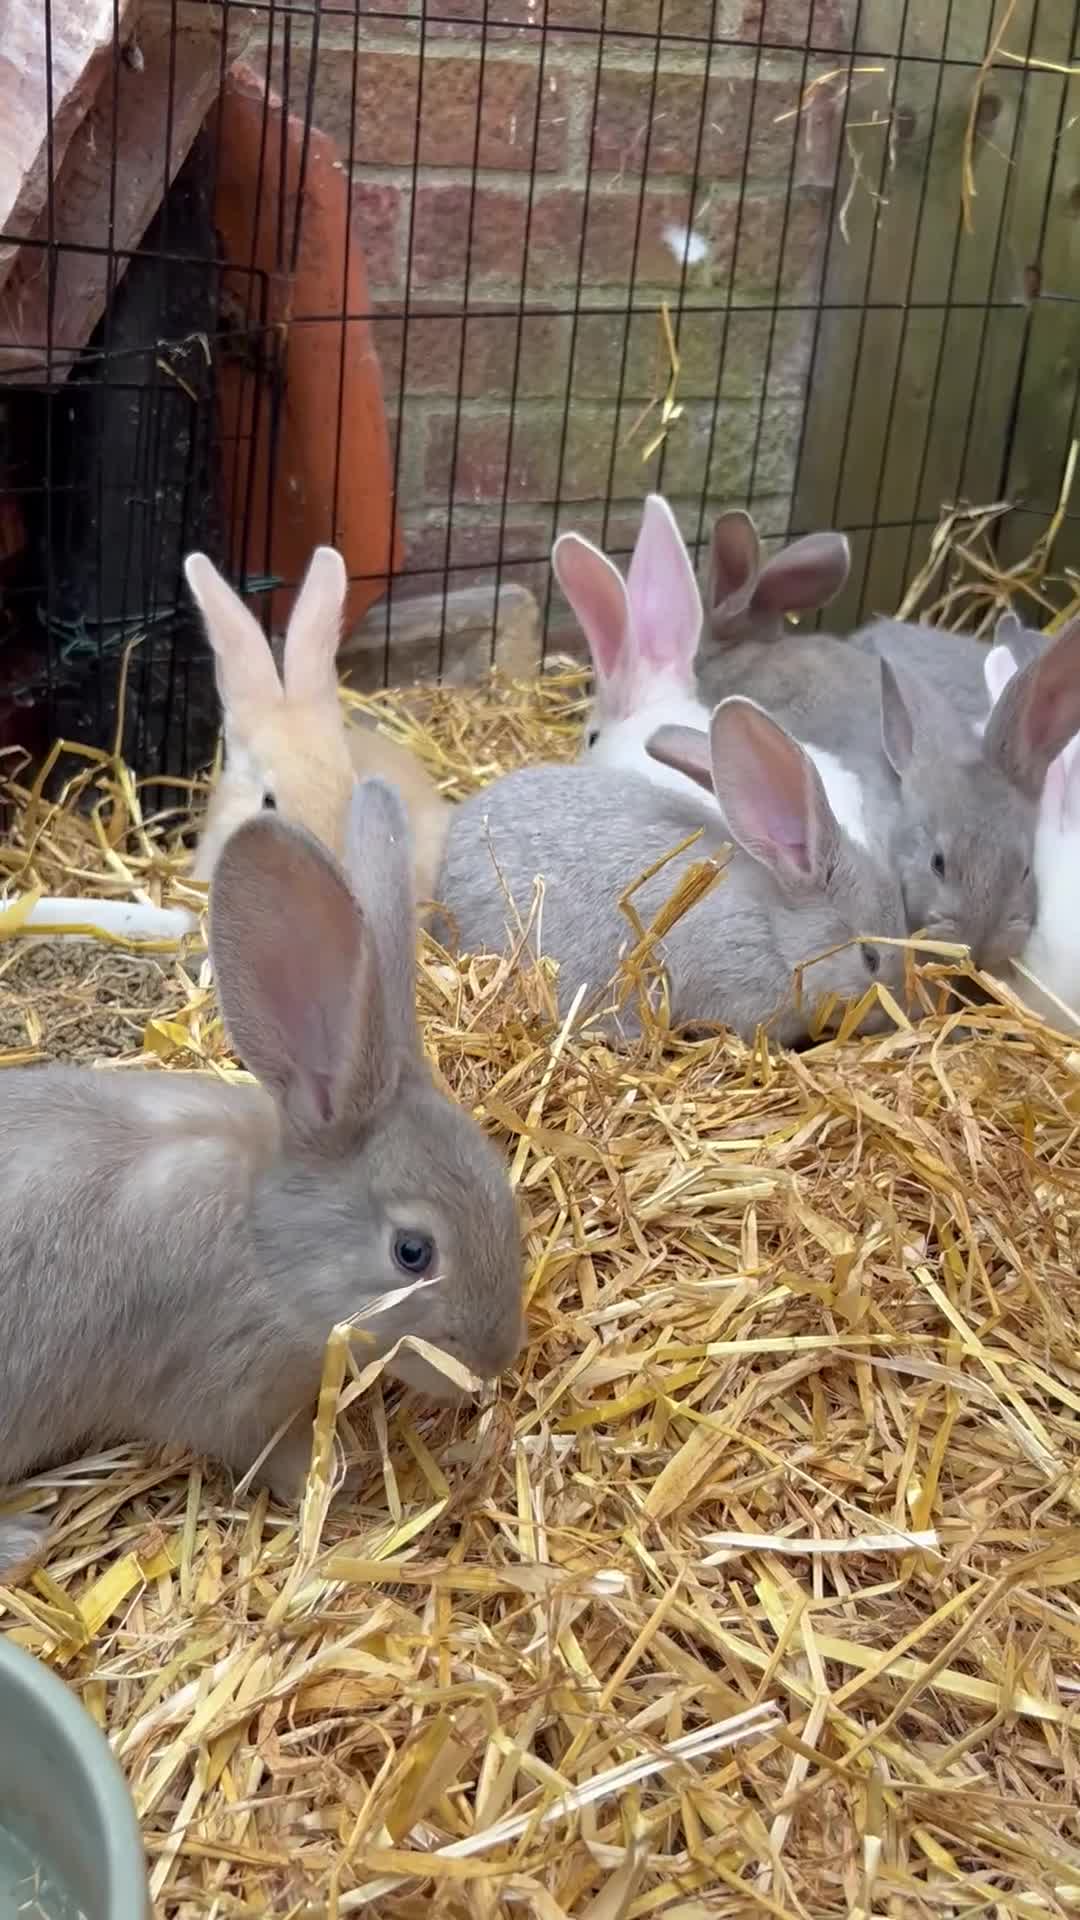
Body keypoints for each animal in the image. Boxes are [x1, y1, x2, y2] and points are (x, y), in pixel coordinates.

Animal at [0, 779, 523, 1581]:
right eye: (412, 1252)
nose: (497, 1358)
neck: (267, 1241)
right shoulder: (227, 1391)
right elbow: (264, 1452)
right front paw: (334, 1478)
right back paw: (22, 1540)